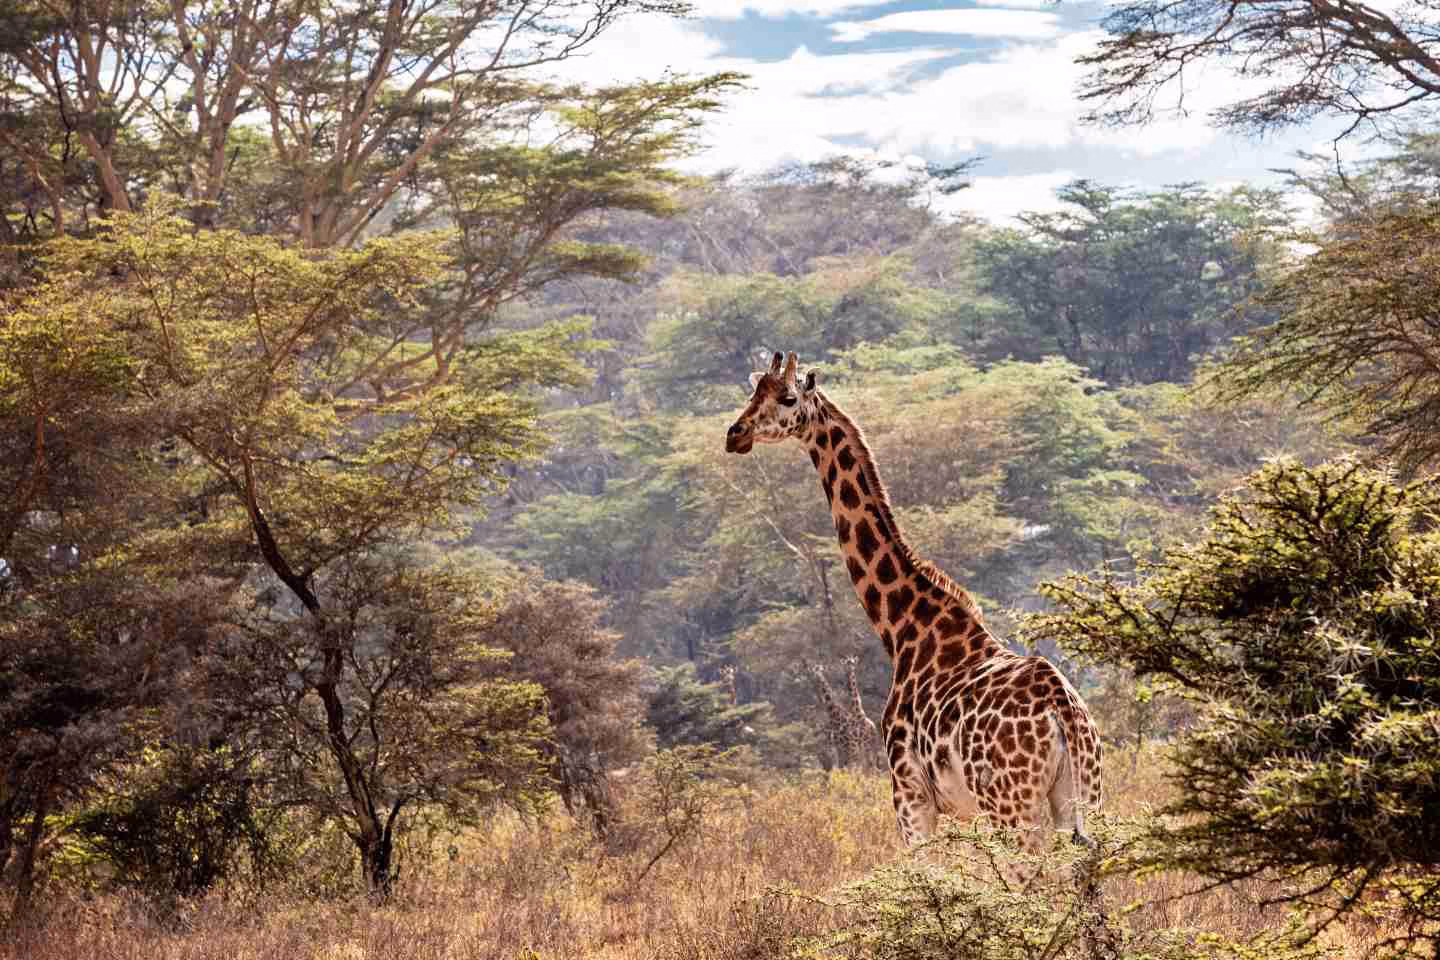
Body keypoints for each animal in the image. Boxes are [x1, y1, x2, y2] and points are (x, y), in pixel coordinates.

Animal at [726, 352, 1102, 847]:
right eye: (753, 393)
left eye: (787, 398)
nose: (735, 434)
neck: (902, 625)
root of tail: (1063, 712)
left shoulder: (909, 795)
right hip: (1084, 799)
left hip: (1011, 805)